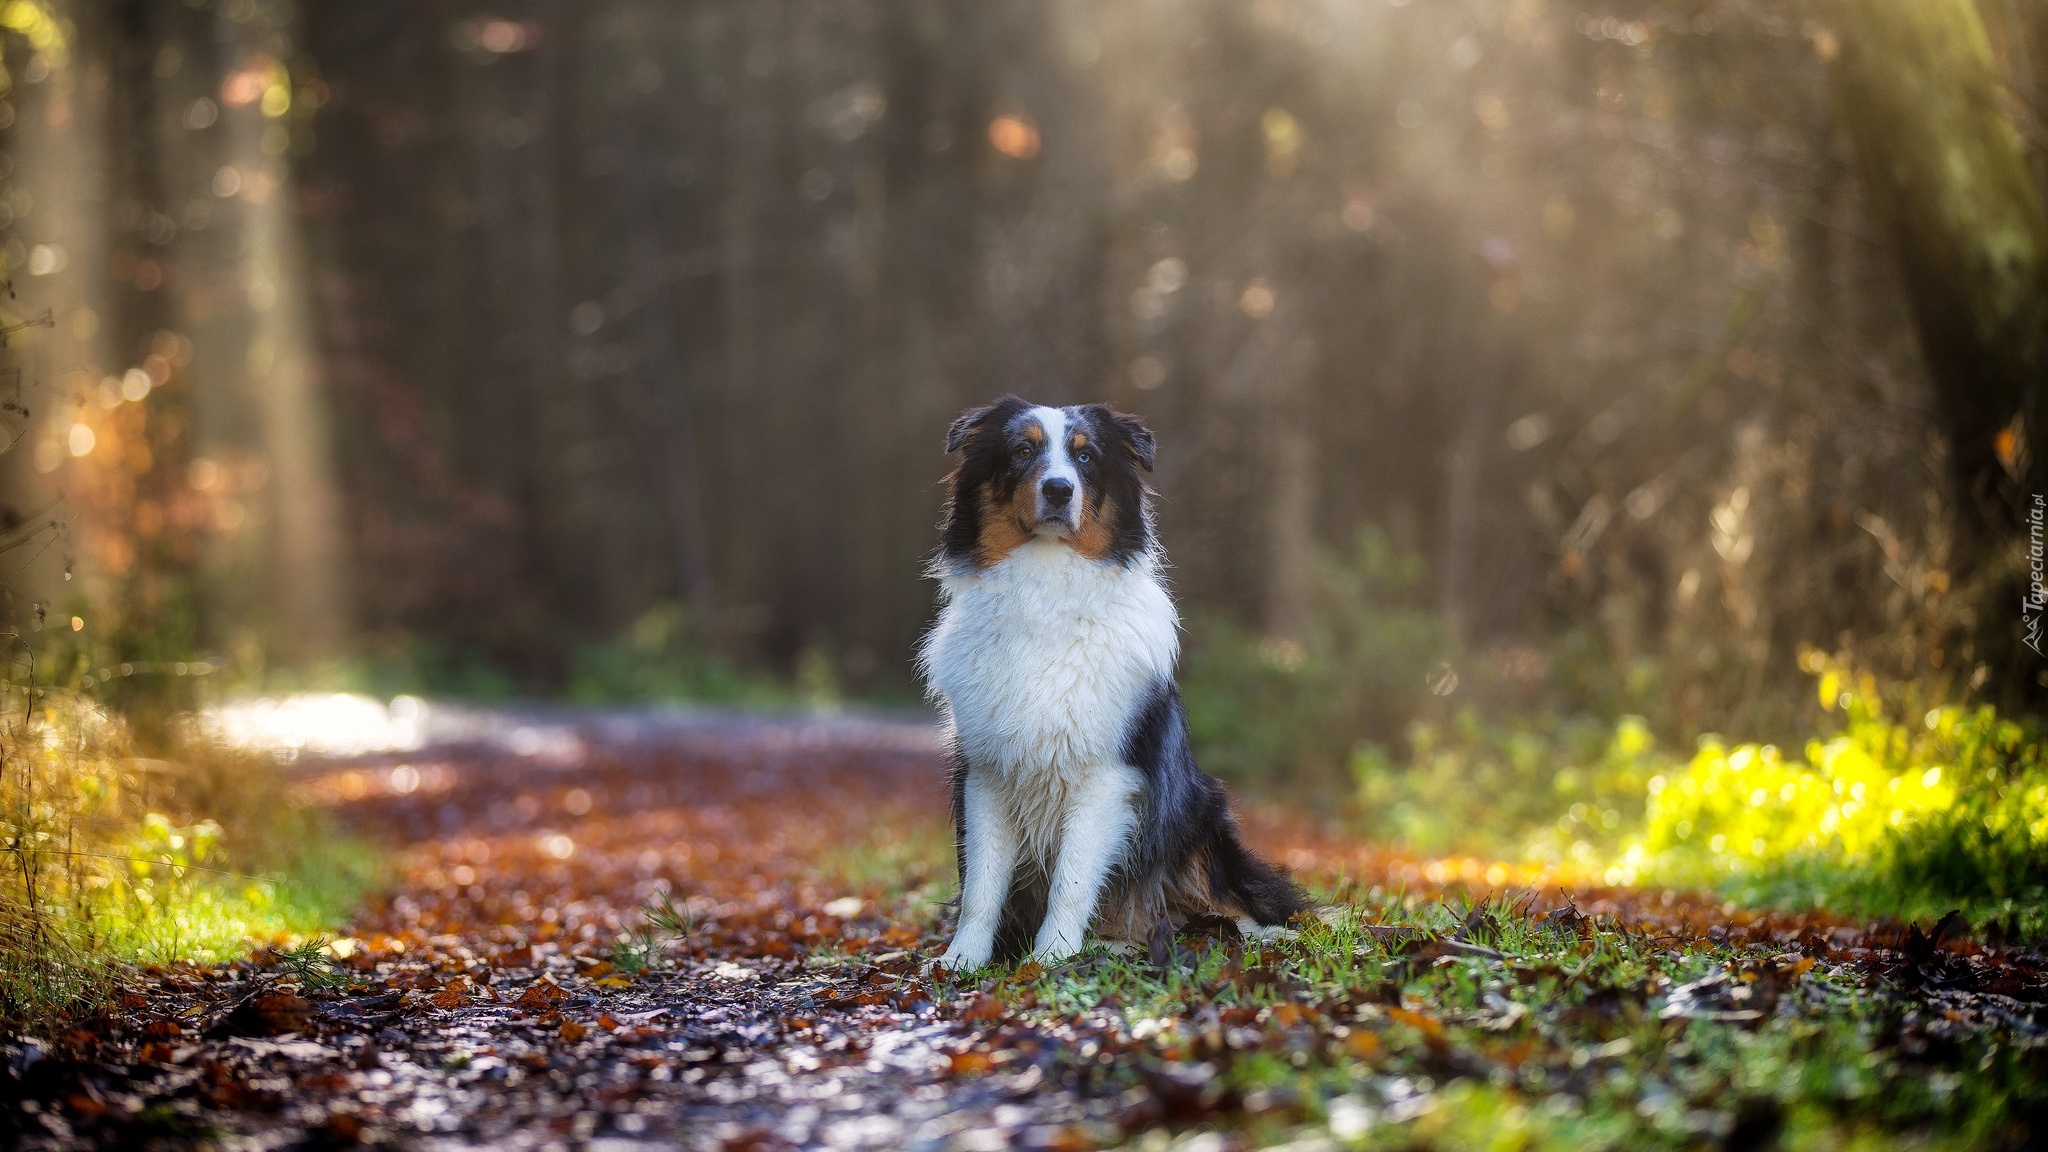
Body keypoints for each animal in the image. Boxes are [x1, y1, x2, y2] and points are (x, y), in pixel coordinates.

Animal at [917, 397, 1302, 967]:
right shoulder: (987, 773)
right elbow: (981, 886)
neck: (1045, 590)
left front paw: (1050, 958)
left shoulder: (1106, 776)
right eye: (1023, 450)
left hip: (1199, 822)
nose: (1059, 489)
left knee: (1245, 902)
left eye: (1086, 457)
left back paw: (1269, 937)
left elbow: (1072, 879)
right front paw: (962, 960)